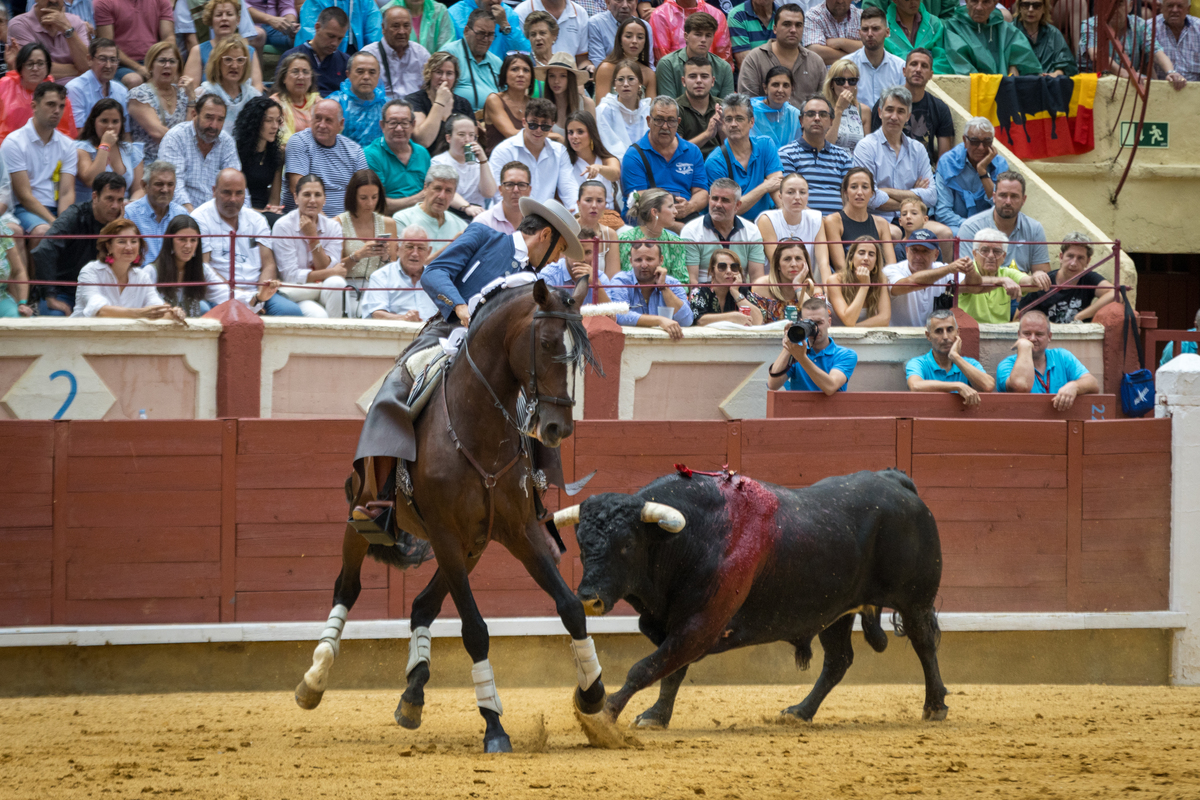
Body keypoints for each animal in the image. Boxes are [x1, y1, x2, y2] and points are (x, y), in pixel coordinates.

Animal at [290, 277, 609, 753]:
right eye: (548, 342)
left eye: (580, 354)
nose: (558, 428)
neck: (477, 429)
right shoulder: (443, 534)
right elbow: (475, 630)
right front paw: (494, 726)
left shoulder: (519, 531)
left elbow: (570, 606)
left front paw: (592, 693)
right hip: (363, 519)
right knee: (347, 586)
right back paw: (314, 678)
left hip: (473, 546)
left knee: (422, 604)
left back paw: (412, 694)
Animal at [556, 470, 950, 724]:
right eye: (581, 545)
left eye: (626, 544)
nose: (588, 597)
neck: (691, 536)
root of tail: (896, 482)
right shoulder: (681, 627)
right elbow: (671, 671)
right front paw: (656, 716)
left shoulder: (699, 625)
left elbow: (647, 668)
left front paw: (605, 712)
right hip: (834, 611)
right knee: (838, 660)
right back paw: (800, 712)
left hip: (915, 601)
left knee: (924, 643)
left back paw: (935, 706)